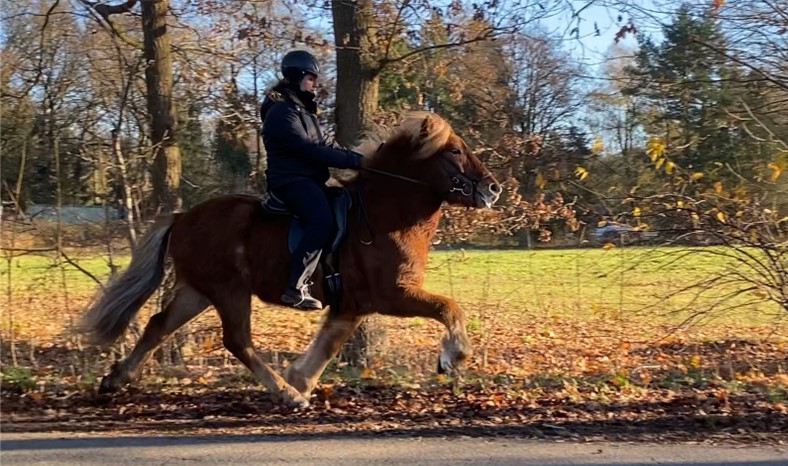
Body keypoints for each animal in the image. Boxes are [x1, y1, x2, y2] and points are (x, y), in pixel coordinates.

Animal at [80, 113, 502, 408]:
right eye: (454, 151)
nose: (493, 189)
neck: (385, 212)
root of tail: (182, 217)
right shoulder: (393, 295)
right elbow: (449, 307)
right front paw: (452, 358)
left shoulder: (353, 305)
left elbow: (328, 344)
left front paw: (301, 377)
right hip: (229, 290)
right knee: (237, 341)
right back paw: (285, 395)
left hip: (197, 291)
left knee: (157, 327)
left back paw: (115, 380)